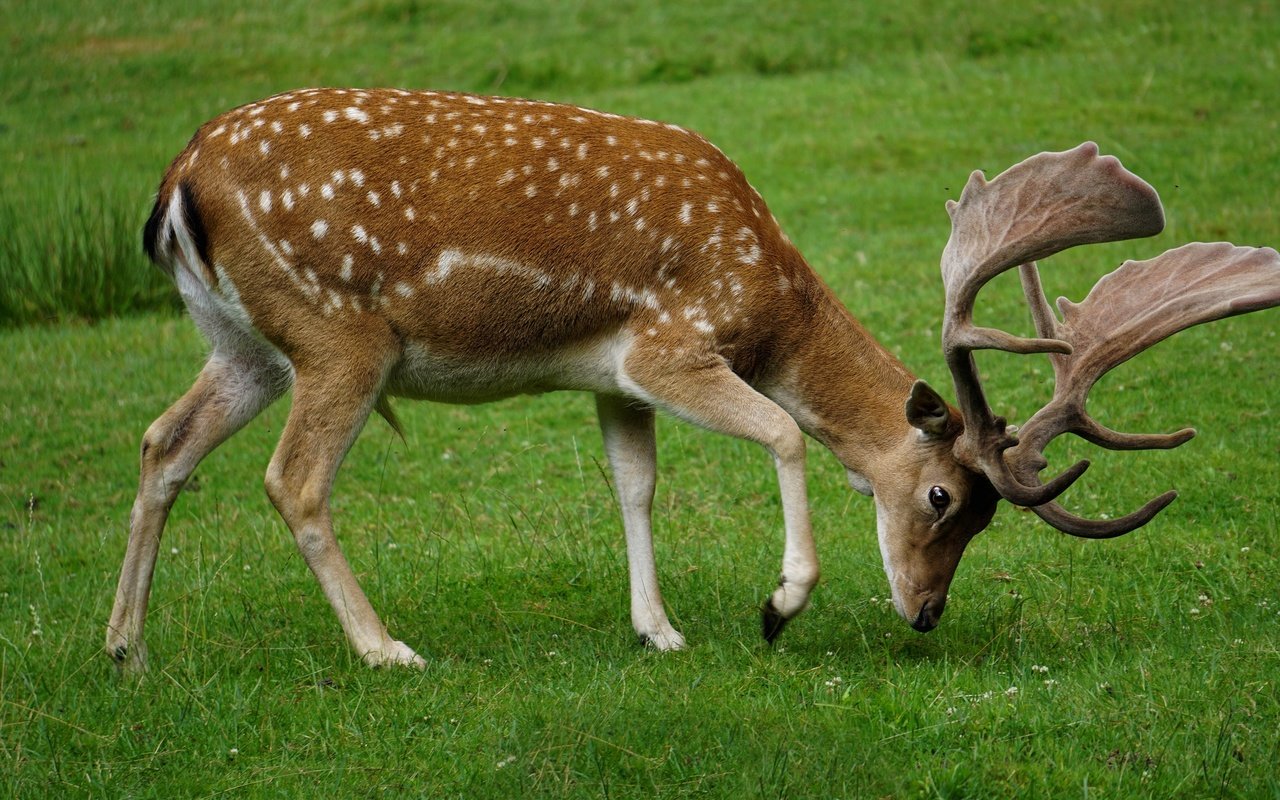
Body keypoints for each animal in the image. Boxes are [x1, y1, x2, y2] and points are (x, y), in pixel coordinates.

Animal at [107, 87, 1280, 670]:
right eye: (944, 497)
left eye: (981, 517)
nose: (924, 612)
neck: (771, 301)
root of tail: (174, 184)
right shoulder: (668, 345)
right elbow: (785, 431)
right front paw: (779, 600)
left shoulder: (610, 375)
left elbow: (635, 483)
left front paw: (658, 630)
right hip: (340, 333)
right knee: (293, 480)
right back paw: (385, 648)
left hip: (244, 341)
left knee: (163, 440)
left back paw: (124, 645)